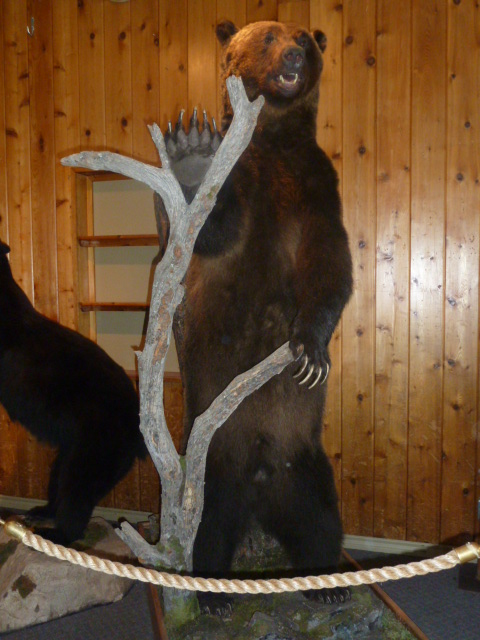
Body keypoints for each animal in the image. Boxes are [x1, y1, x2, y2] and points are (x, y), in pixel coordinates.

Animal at [0, 240, 146, 544]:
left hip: (96, 445)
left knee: (77, 490)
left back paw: (55, 533)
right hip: (73, 448)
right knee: (59, 480)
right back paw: (41, 512)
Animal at [164, 21, 352, 608]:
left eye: (305, 40)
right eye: (268, 37)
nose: (293, 54)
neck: (272, 139)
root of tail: (263, 481)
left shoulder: (316, 186)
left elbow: (330, 263)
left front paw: (310, 351)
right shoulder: (244, 178)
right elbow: (214, 227)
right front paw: (190, 153)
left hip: (305, 456)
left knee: (320, 520)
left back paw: (329, 586)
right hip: (209, 464)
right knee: (208, 525)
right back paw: (213, 593)